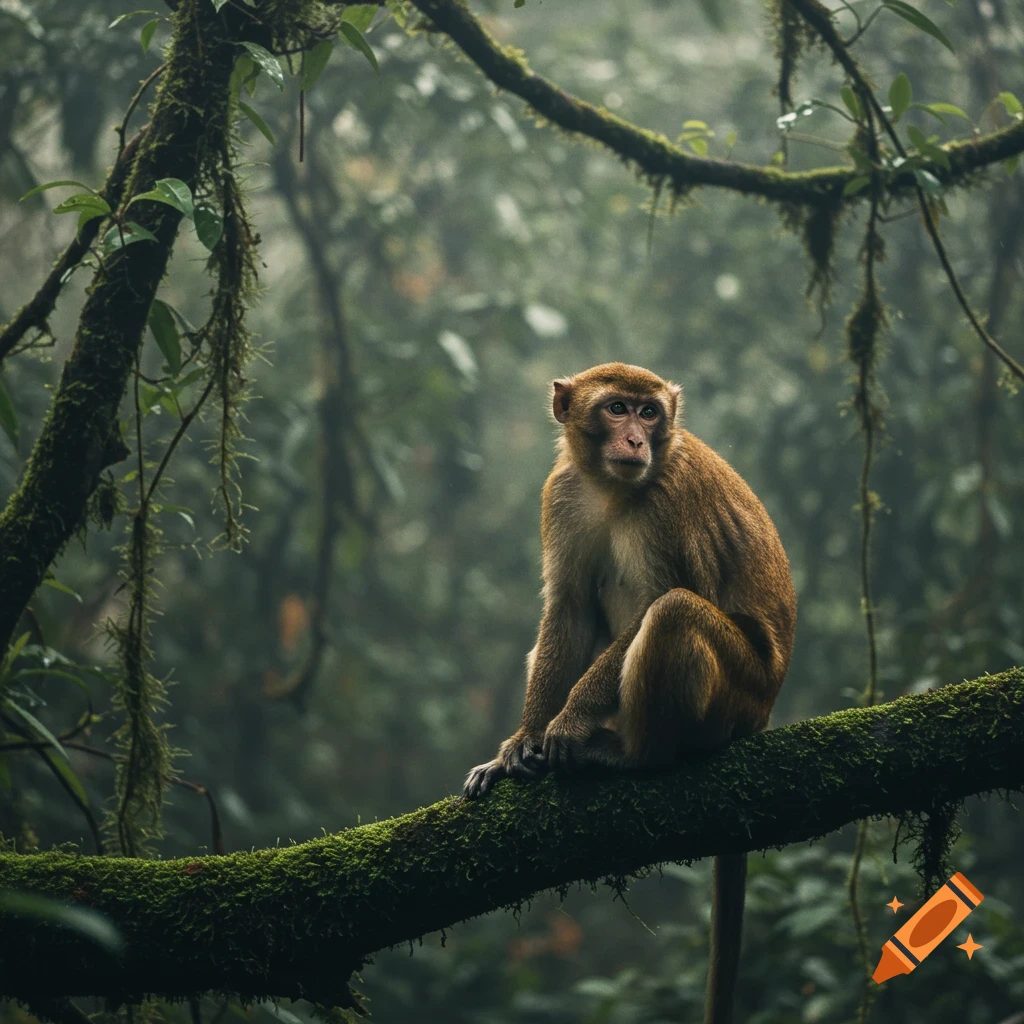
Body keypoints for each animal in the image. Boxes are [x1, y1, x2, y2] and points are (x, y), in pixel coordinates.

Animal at [462, 362, 796, 1024]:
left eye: (649, 412)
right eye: (617, 408)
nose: (637, 440)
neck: (611, 489)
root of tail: (766, 710)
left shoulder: (668, 500)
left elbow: (658, 600)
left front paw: (567, 725)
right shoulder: (562, 492)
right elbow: (568, 609)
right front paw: (519, 745)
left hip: (739, 692)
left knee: (673, 612)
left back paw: (631, 755)